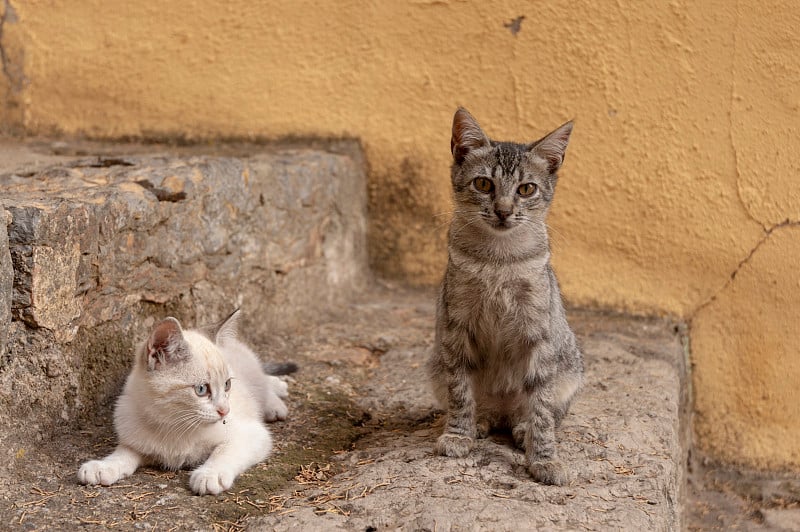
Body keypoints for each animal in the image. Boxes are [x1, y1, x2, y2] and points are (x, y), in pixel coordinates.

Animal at [76, 310, 290, 496]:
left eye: (227, 385)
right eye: (201, 390)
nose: (225, 411)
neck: (175, 424)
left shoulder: (251, 434)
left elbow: (224, 451)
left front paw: (209, 474)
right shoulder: (135, 439)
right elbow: (123, 454)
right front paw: (104, 466)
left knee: (262, 383)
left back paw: (276, 399)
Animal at [428, 108, 584, 486]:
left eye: (527, 189)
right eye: (484, 184)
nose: (502, 210)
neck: (499, 259)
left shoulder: (539, 335)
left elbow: (541, 408)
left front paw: (544, 459)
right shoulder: (457, 326)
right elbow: (460, 391)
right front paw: (458, 435)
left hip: (570, 372)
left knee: (546, 413)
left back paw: (522, 428)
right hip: (436, 366)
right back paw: (480, 421)